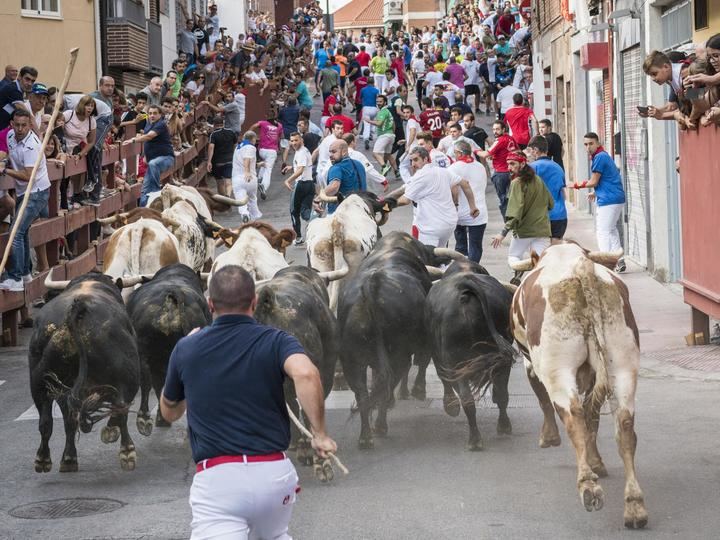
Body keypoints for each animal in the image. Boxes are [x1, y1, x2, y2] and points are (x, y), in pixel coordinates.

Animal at [28, 274, 141, 472]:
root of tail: (78, 309)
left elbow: (68, 420)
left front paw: (68, 457)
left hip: (39, 380)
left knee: (47, 421)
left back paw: (46, 459)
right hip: (128, 376)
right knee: (121, 407)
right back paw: (127, 451)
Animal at [510, 244, 648, 528]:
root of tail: (580, 268)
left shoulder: (530, 363)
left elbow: (545, 402)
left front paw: (549, 437)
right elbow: (592, 418)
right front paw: (597, 462)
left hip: (558, 369)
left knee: (573, 416)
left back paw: (588, 486)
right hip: (623, 365)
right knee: (624, 427)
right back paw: (634, 505)